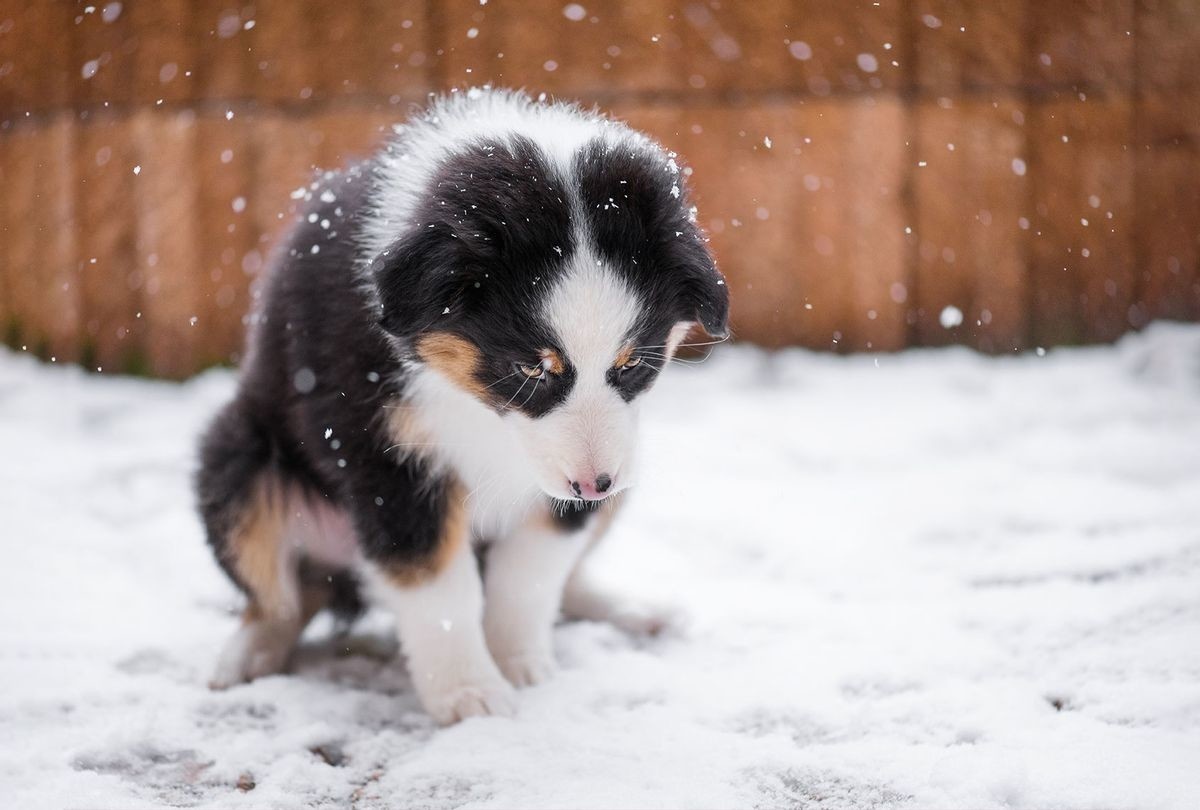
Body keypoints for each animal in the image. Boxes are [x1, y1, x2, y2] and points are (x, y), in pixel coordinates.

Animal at [194, 87, 729, 724]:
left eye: (632, 366)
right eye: (531, 369)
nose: (594, 485)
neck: (482, 408)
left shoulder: (578, 467)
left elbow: (530, 573)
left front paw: (521, 665)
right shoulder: (390, 457)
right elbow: (439, 589)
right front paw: (470, 695)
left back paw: (635, 609)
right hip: (236, 459)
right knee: (281, 595)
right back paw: (244, 657)